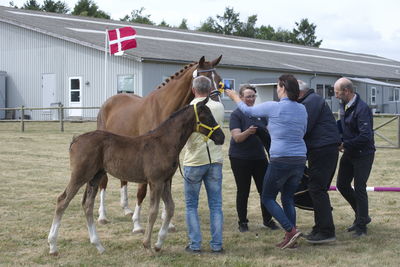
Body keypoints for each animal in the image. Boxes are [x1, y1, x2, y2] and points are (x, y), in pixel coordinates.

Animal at [47, 99, 225, 255]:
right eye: (206, 116)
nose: (221, 137)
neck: (164, 143)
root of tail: (76, 140)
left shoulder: (166, 181)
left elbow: (170, 208)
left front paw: (159, 244)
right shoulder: (156, 181)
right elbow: (153, 211)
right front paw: (147, 245)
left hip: (95, 177)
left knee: (87, 204)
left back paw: (99, 245)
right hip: (80, 175)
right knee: (62, 201)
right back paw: (53, 246)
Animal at [95, 56, 223, 234]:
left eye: (219, 80)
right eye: (203, 79)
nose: (216, 105)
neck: (163, 109)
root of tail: (110, 101)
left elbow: (166, 188)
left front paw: (168, 223)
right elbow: (141, 191)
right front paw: (137, 224)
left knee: (123, 179)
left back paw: (126, 208)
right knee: (103, 181)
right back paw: (102, 215)